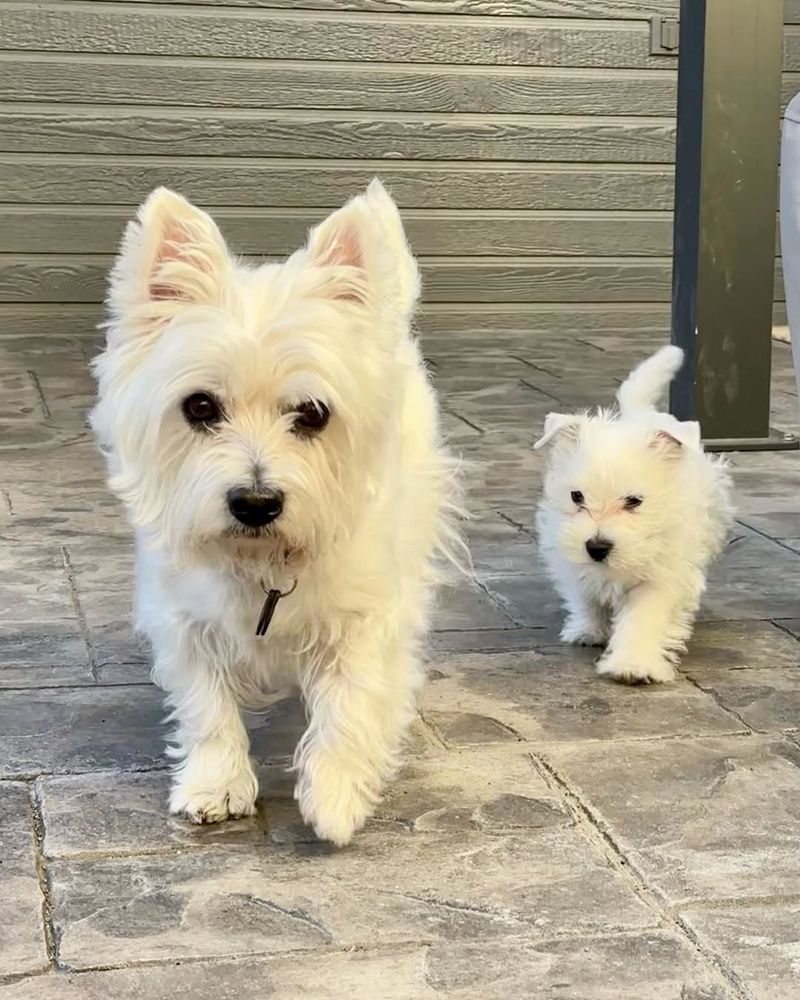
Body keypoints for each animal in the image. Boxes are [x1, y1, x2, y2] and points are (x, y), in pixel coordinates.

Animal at [90, 180, 460, 844]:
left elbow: (352, 694)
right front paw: (216, 784)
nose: (256, 502)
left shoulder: (364, 612)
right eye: (200, 406)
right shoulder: (186, 618)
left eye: (312, 413)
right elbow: (207, 706)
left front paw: (337, 791)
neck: (263, 560)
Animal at [536, 348, 736, 684]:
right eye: (577, 497)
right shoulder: (571, 556)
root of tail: (641, 413)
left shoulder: (661, 575)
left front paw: (633, 664)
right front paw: (589, 629)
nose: (596, 548)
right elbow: (585, 595)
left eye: (634, 501)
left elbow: (643, 618)